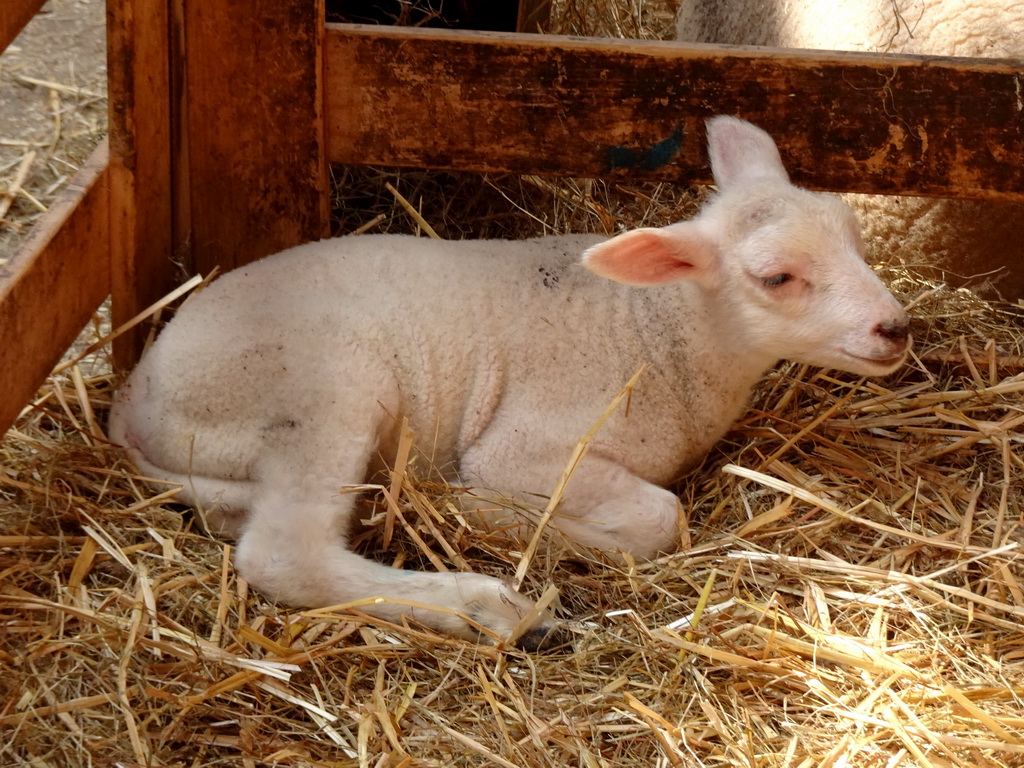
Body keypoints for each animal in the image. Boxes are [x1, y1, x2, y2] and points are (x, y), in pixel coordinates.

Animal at [110, 118, 913, 651]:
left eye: (854, 237)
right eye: (776, 277)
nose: (895, 328)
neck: (658, 331)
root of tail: (135, 396)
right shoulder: (527, 444)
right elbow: (658, 518)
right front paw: (488, 514)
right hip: (323, 383)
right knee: (284, 553)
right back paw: (492, 608)